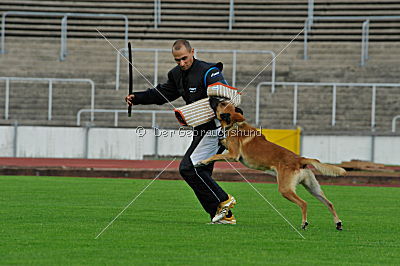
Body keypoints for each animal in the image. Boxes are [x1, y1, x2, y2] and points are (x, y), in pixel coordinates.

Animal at [198, 101, 346, 230]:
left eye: (222, 103)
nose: (212, 98)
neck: (235, 124)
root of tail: (300, 159)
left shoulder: (233, 155)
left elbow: (215, 156)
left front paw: (203, 161)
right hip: (313, 188)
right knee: (329, 203)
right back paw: (338, 223)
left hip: (285, 189)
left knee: (304, 203)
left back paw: (304, 223)